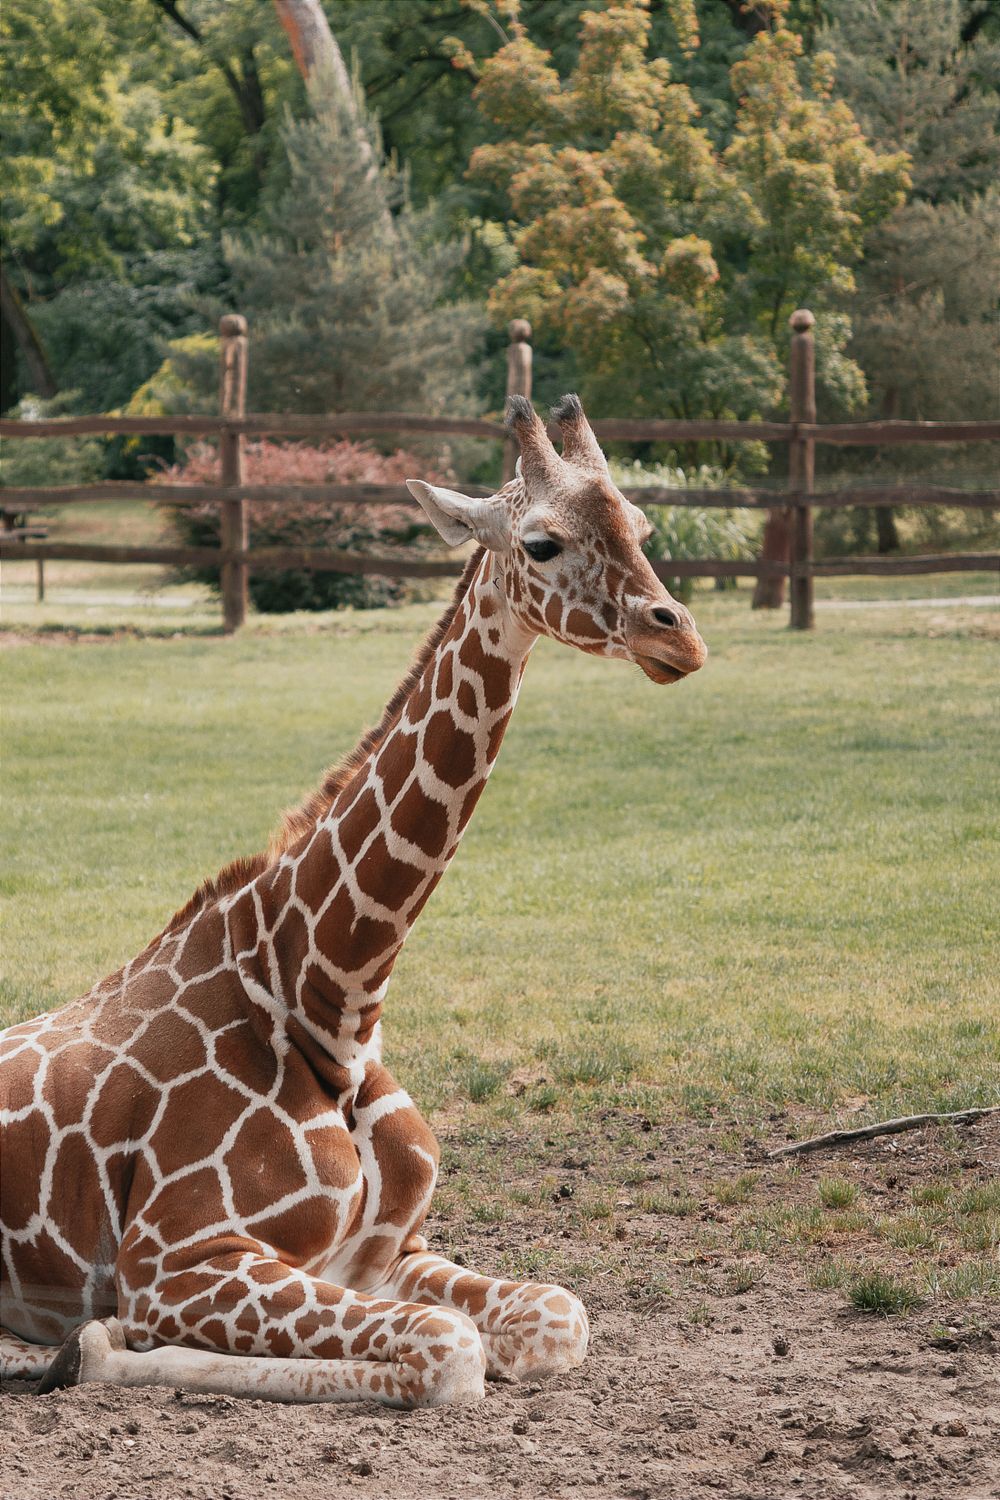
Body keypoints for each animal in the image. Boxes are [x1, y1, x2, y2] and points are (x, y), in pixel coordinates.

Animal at [0, 395, 706, 1408]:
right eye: (541, 542)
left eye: (642, 528)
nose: (676, 635)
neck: (331, 999)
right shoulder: (173, 1261)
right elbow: (449, 1350)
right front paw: (91, 1346)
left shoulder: (388, 1251)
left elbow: (558, 1316)